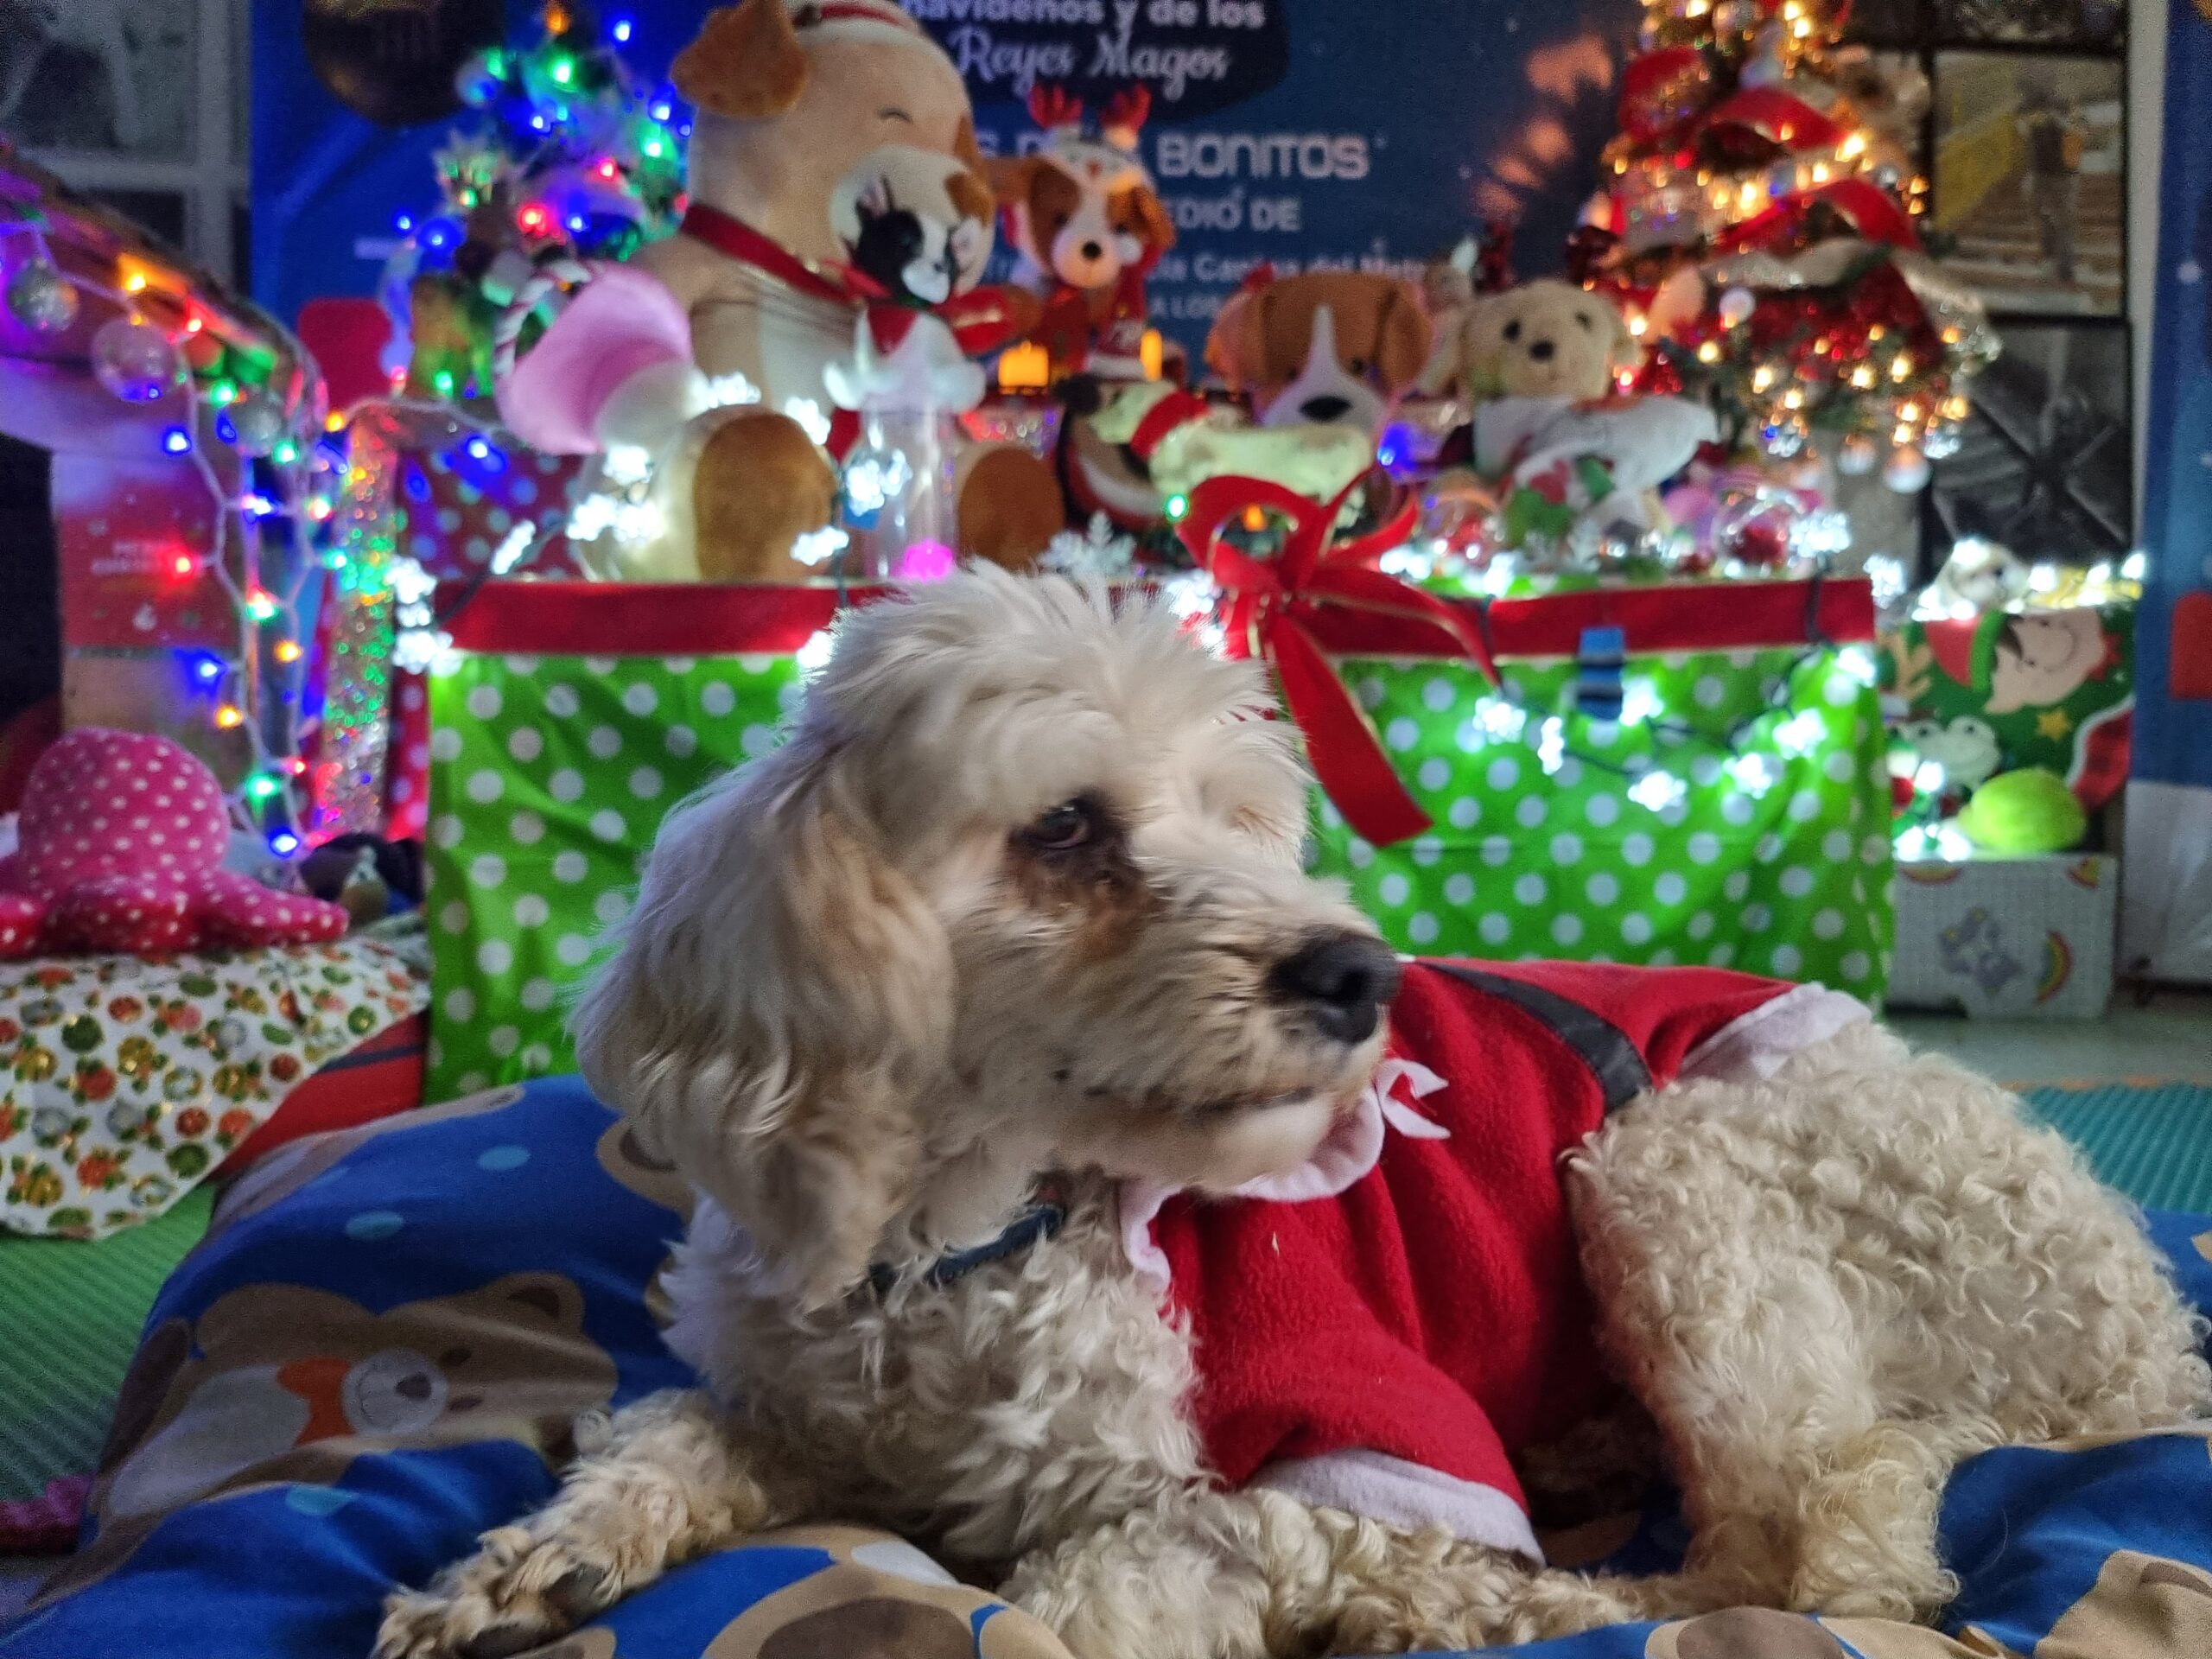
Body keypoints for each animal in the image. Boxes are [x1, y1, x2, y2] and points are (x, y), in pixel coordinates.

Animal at [376, 570, 2194, 1659]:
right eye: (1062, 830)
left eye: (1244, 820)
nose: (1361, 971)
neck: (967, 1245)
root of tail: (2152, 1344)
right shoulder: (795, 1394)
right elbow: (665, 1435)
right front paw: (530, 1564)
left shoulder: (1338, 1457)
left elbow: (1089, 1595)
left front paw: (1444, 1590)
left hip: (1670, 1172)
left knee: (1802, 1545)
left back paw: (1570, 1590)